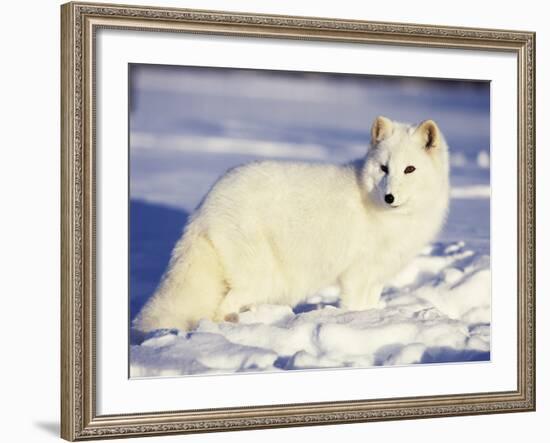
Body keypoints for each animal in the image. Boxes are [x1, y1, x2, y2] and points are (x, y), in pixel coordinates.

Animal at [135, 116, 452, 332]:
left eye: (409, 169)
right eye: (383, 168)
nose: (389, 197)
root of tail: (206, 205)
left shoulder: (376, 276)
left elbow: (371, 304)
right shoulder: (356, 275)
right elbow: (356, 307)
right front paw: (360, 324)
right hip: (262, 276)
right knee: (220, 309)